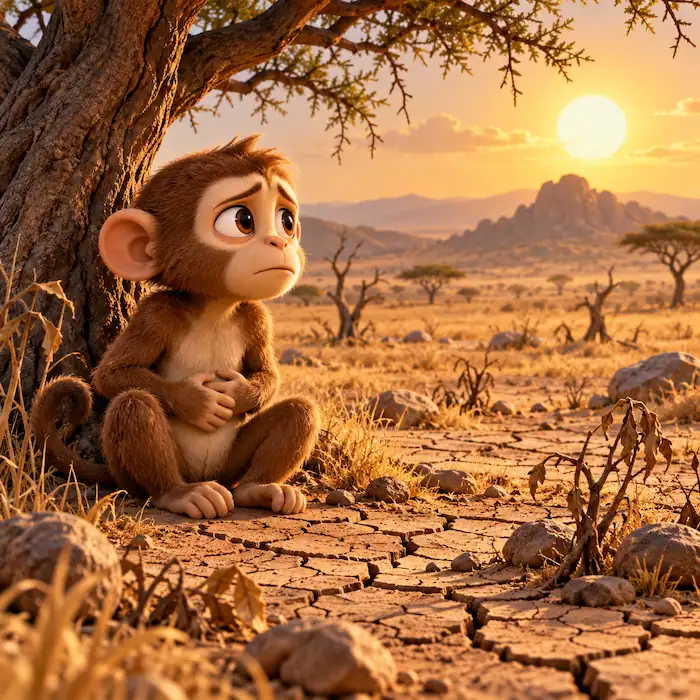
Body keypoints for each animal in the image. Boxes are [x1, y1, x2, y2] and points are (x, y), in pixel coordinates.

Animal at [31, 135, 320, 519]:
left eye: (286, 220)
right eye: (242, 220)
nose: (282, 242)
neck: (215, 308)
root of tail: (208, 476)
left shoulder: (257, 316)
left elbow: (266, 374)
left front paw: (238, 393)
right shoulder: (157, 312)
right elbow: (112, 373)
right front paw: (198, 401)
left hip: (231, 466)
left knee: (299, 410)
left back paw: (260, 488)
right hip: (142, 470)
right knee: (134, 404)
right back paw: (182, 494)